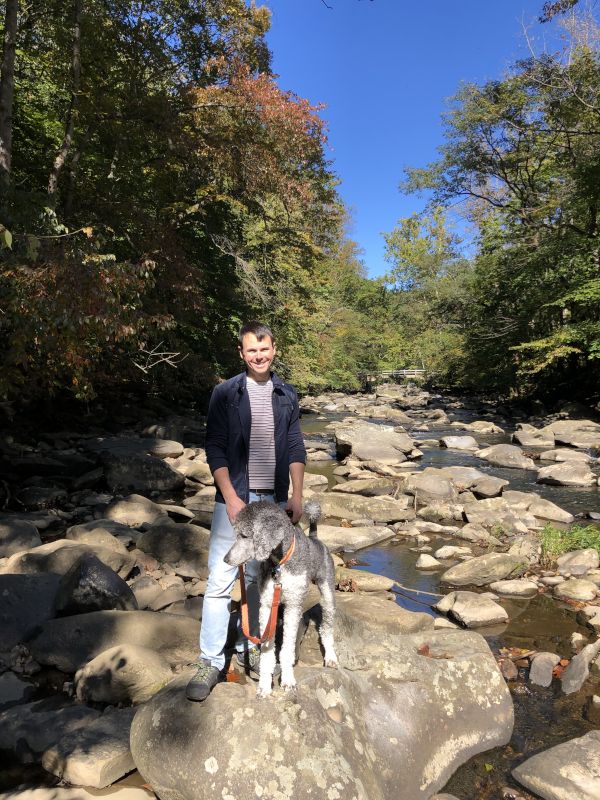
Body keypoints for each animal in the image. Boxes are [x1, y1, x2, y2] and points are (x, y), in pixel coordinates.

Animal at [224, 496, 338, 696]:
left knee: (326, 627)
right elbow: (267, 650)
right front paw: (264, 685)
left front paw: (288, 680)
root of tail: (315, 538)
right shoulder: (267, 605)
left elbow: (286, 649)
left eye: (244, 535)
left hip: (328, 593)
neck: (279, 564)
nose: (226, 559)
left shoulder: (293, 605)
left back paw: (331, 656)